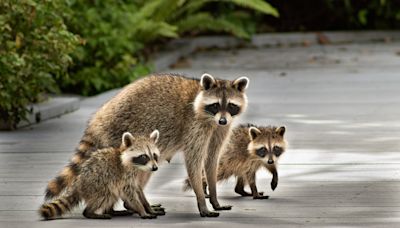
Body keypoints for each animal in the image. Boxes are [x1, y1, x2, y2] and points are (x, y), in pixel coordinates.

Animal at [45, 73, 248, 217]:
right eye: (215, 105)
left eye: (231, 105)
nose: (222, 120)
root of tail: (98, 119)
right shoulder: (194, 125)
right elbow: (194, 161)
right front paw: (201, 201)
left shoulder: (219, 129)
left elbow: (212, 160)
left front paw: (214, 197)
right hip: (119, 138)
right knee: (127, 174)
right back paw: (126, 206)